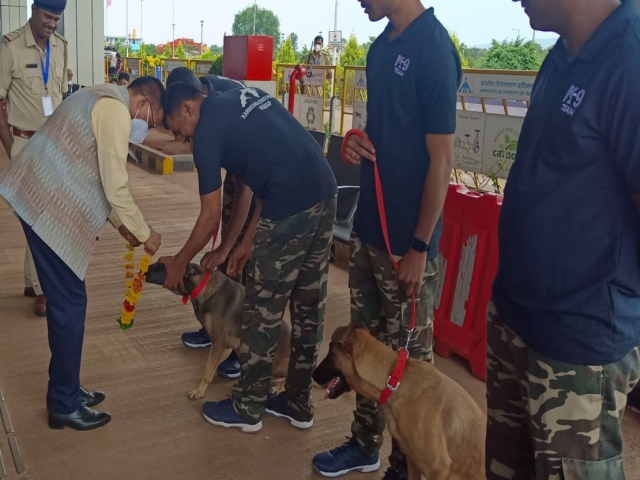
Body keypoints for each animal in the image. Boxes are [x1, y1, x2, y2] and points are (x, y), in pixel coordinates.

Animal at [146, 260, 292, 400]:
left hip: (274, 365)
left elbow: (207, 369)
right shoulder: (219, 345)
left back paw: (278, 387)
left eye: (162, 265)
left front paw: (199, 391)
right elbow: (212, 367)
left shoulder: (218, 341)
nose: (144, 271)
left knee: (287, 377)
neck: (201, 286)